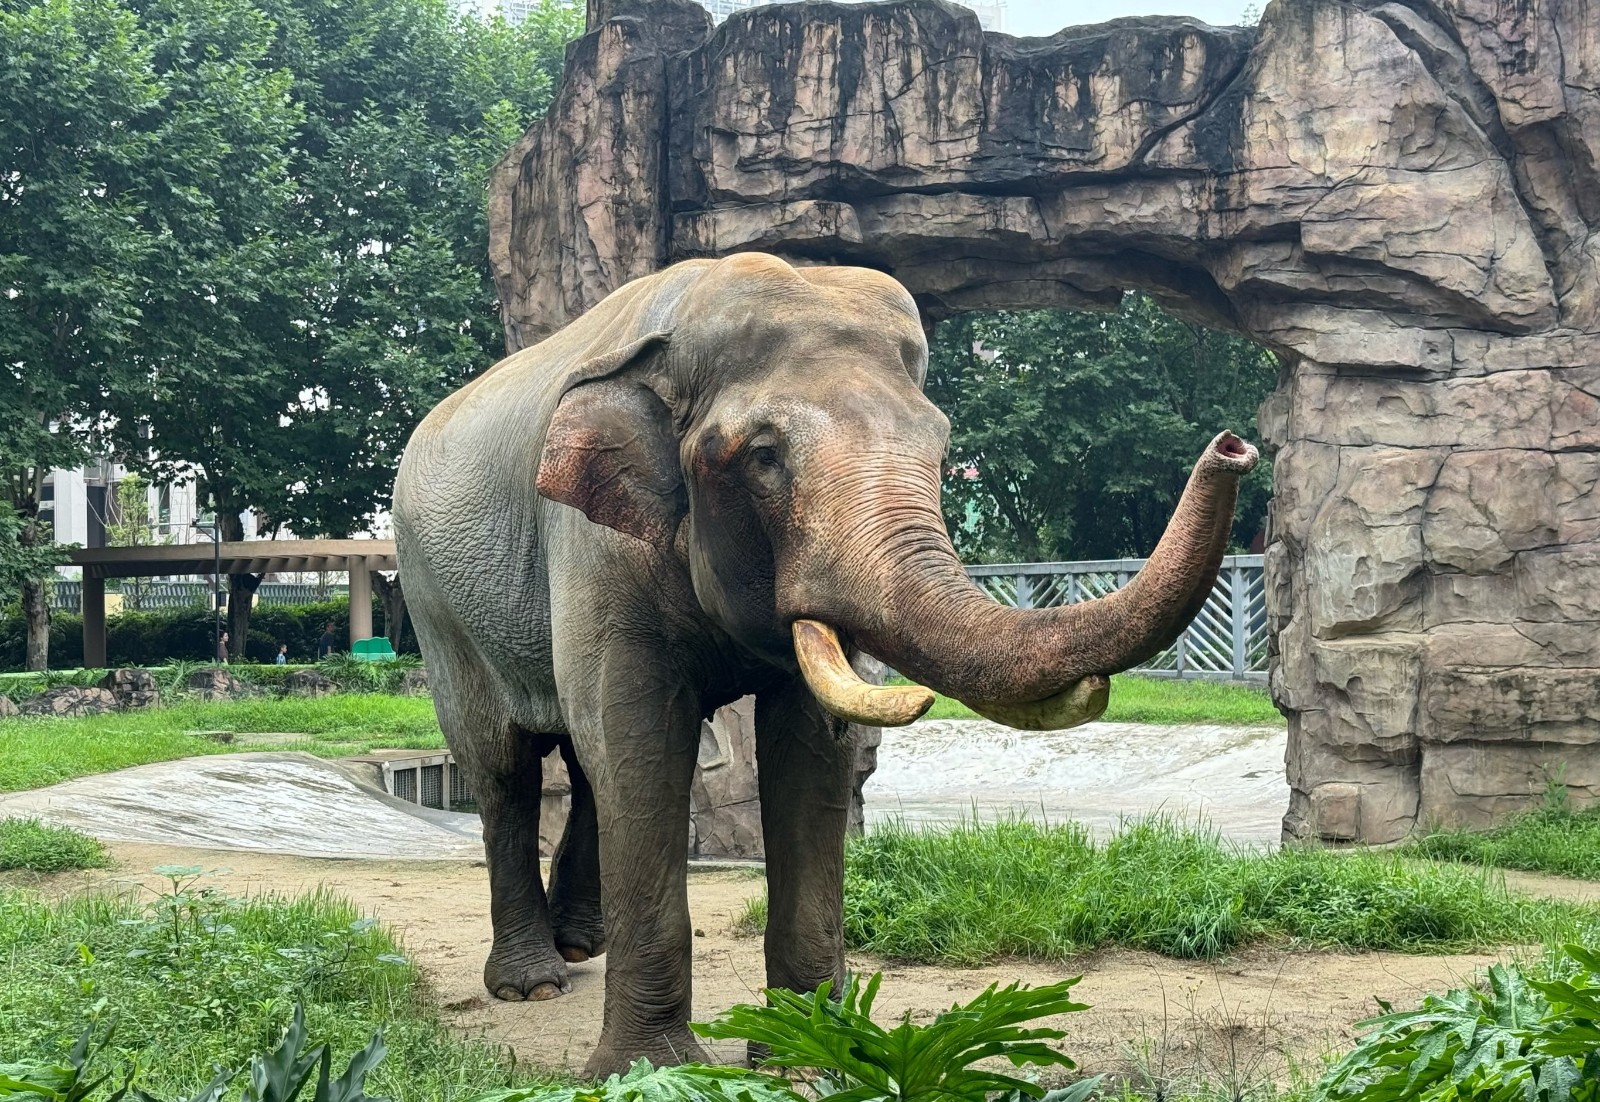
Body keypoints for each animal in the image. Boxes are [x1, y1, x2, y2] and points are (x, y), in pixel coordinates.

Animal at [392, 252, 1258, 1076]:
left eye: (941, 449)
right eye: (764, 456)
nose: (1235, 445)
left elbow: (808, 751)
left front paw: (810, 1056)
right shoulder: (593, 544)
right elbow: (639, 741)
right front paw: (649, 1069)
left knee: (578, 757)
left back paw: (579, 949)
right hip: (435, 600)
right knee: (504, 765)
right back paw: (531, 983)